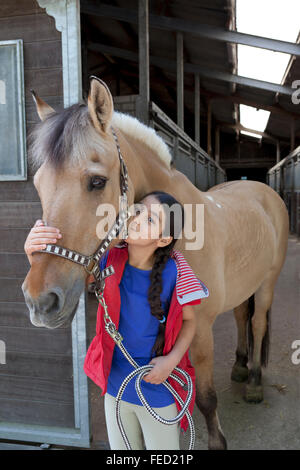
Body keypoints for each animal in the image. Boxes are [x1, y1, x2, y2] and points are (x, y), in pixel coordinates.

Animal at [22, 76, 290, 448]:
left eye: (97, 181)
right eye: (38, 184)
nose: (41, 302)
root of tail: (263, 192)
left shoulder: (199, 329)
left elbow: (205, 398)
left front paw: (217, 441)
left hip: (266, 285)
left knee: (258, 322)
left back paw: (252, 383)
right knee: (240, 318)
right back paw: (239, 366)